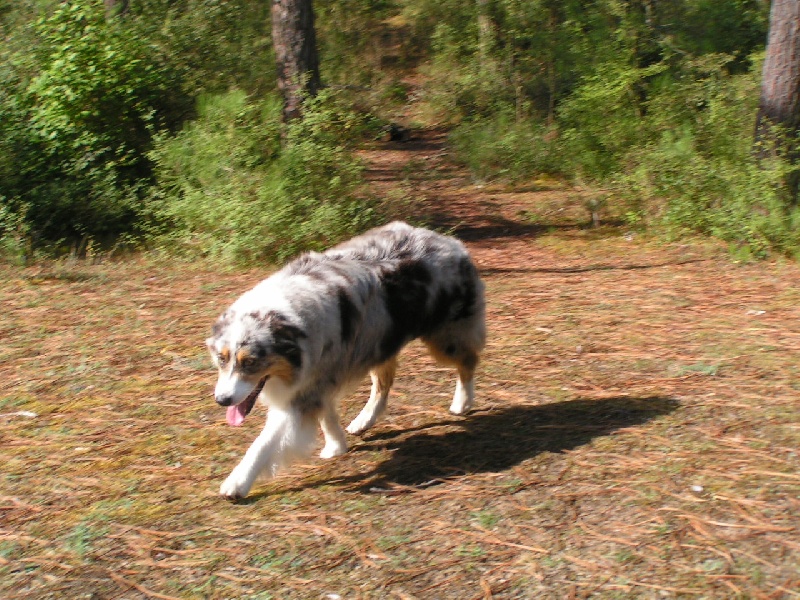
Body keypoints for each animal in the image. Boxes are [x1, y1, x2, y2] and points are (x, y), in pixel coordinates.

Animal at [205, 223, 488, 500]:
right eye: (221, 358)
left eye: (251, 362)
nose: (222, 400)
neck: (292, 322)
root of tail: (450, 241)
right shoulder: (318, 380)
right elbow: (327, 416)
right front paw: (336, 446)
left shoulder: (301, 396)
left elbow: (263, 444)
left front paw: (237, 483)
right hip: (380, 342)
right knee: (384, 384)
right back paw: (364, 420)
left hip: (446, 337)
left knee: (468, 361)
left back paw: (462, 402)